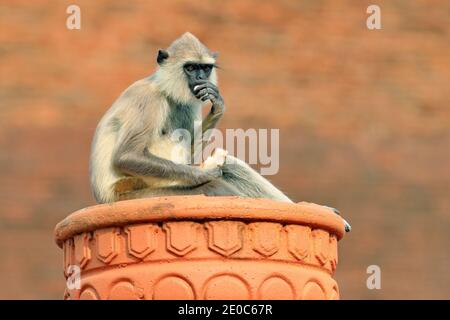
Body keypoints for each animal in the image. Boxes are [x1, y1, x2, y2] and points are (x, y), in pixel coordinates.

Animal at [89, 32, 296, 205]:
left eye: (205, 68)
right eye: (190, 67)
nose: (199, 77)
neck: (165, 90)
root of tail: (105, 199)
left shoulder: (190, 102)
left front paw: (218, 106)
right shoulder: (148, 98)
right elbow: (126, 156)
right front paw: (204, 173)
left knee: (231, 165)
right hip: (137, 192)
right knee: (215, 186)